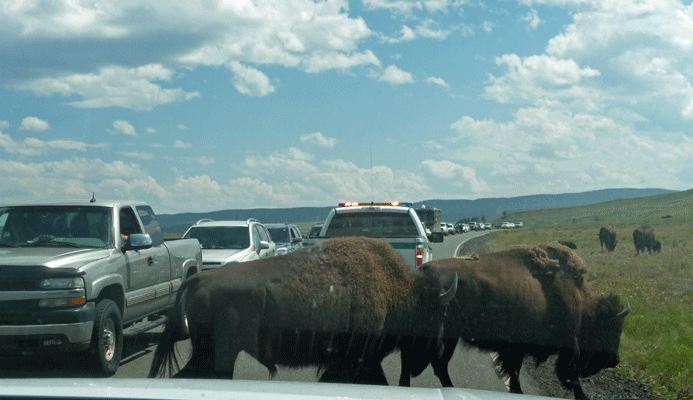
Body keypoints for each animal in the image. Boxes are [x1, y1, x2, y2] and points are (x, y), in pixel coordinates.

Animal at [149, 236, 456, 382]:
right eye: (436, 316)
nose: (440, 350)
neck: (394, 291)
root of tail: (199, 278)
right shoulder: (355, 361)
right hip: (217, 355)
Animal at [394, 242, 628, 398]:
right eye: (611, 329)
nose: (615, 360)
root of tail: (420, 272)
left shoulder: (513, 349)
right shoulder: (559, 347)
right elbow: (568, 377)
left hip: (448, 336)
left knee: (434, 363)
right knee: (420, 360)